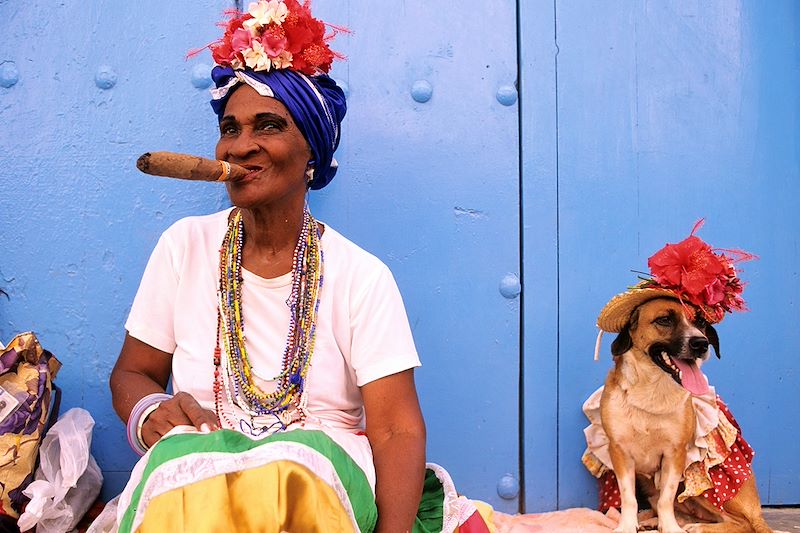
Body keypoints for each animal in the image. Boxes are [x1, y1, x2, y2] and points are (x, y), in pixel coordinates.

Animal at [604, 298, 772, 528]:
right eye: (664, 320)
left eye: (700, 321)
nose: (701, 343)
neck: (651, 393)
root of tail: (757, 511)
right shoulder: (620, 452)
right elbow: (629, 498)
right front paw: (627, 526)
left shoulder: (675, 454)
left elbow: (666, 498)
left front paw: (670, 527)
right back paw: (653, 520)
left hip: (708, 489)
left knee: (741, 524)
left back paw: (696, 527)